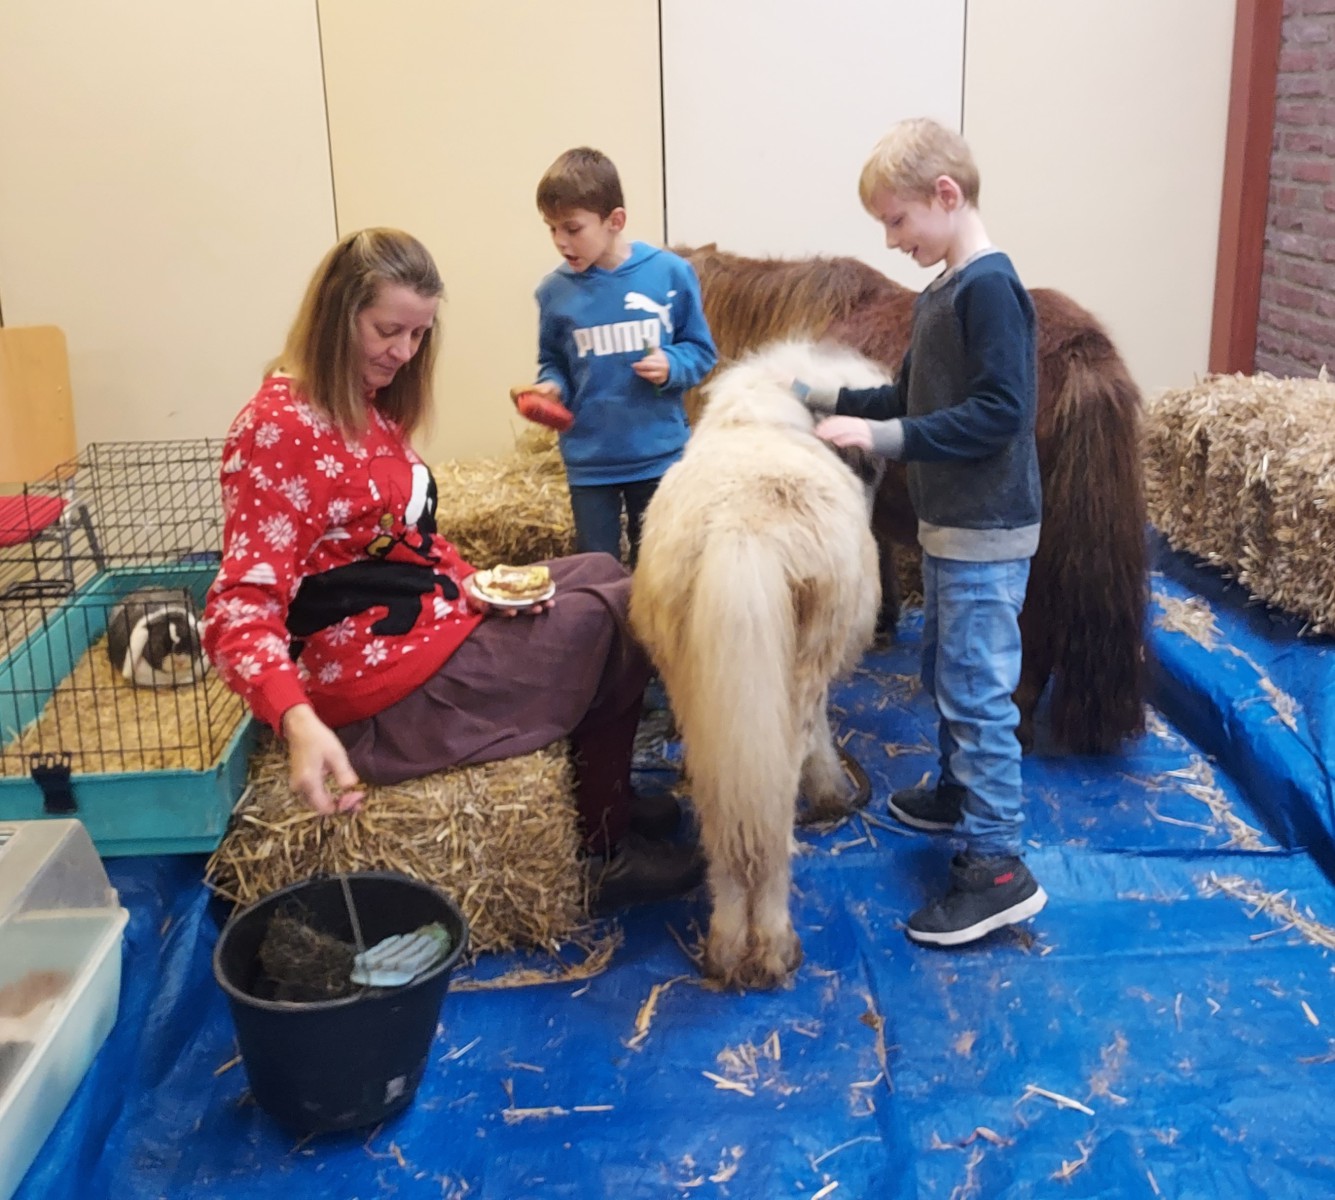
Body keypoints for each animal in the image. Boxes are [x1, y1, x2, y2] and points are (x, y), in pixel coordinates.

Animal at [629, 341, 883, 990]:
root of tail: (743, 531)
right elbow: (820, 741)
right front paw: (834, 795)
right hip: (801, 669)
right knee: (776, 797)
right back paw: (771, 946)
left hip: (698, 686)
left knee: (724, 805)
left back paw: (725, 946)